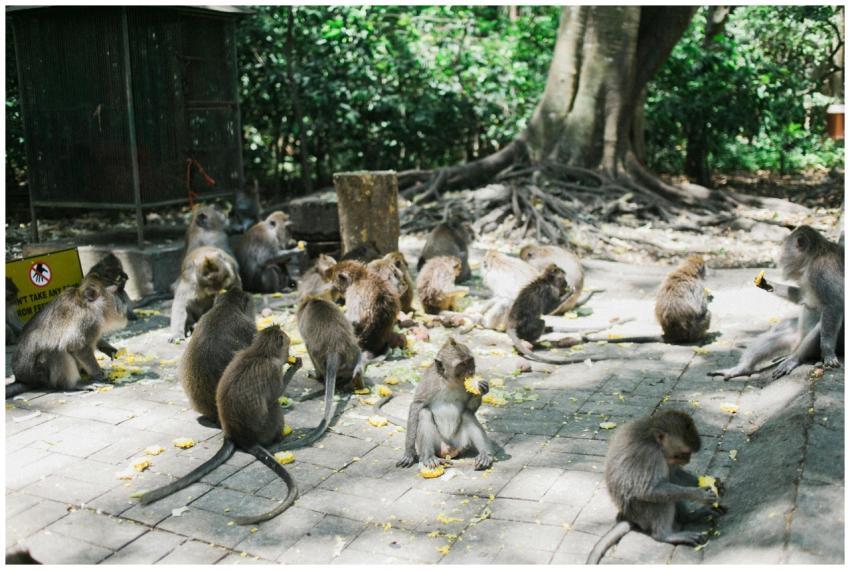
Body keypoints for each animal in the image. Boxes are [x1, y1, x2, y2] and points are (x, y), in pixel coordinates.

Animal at [139, 326, 302, 525]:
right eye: (287, 346)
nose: (289, 356)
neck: (260, 352)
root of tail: (237, 436)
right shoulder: (272, 370)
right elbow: (277, 393)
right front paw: (294, 366)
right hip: (266, 428)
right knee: (273, 405)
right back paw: (280, 436)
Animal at [396, 337, 495, 471]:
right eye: (462, 365)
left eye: (470, 361)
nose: (471, 371)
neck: (449, 382)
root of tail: (449, 448)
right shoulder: (430, 380)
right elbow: (416, 405)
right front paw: (409, 452)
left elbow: (469, 408)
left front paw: (481, 389)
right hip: (438, 443)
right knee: (424, 413)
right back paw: (429, 457)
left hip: (461, 442)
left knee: (467, 414)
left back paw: (485, 454)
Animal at [586, 410, 726, 564]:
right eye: (684, 453)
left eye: (688, 454)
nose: (688, 460)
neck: (653, 439)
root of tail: (630, 517)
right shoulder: (650, 455)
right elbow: (648, 490)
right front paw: (699, 494)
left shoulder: (665, 458)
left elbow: (673, 475)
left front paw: (716, 484)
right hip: (641, 511)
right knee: (659, 500)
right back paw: (665, 535)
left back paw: (688, 517)